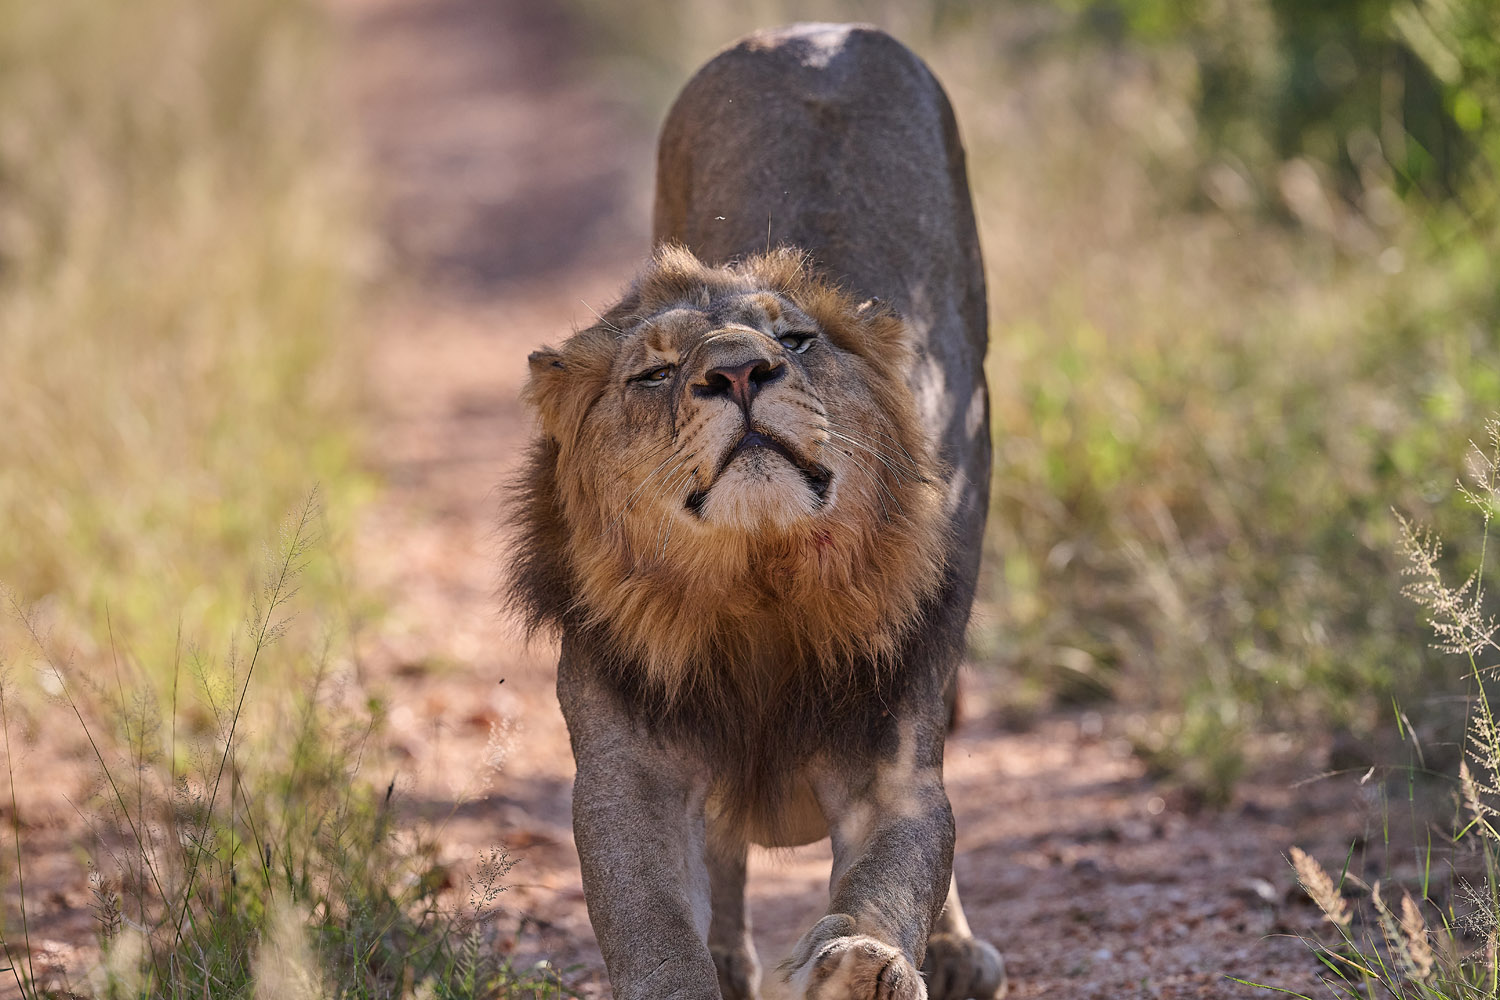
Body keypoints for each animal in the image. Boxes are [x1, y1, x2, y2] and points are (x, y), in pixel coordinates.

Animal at [510, 23, 1002, 1000]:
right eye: (655, 372)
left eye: (798, 340)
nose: (740, 369)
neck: (758, 584)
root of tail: (810, 33)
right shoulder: (629, 776)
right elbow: (653, 921)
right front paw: (690, 974)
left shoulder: (893, 768)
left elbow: (896, 879)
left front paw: (864, 966)